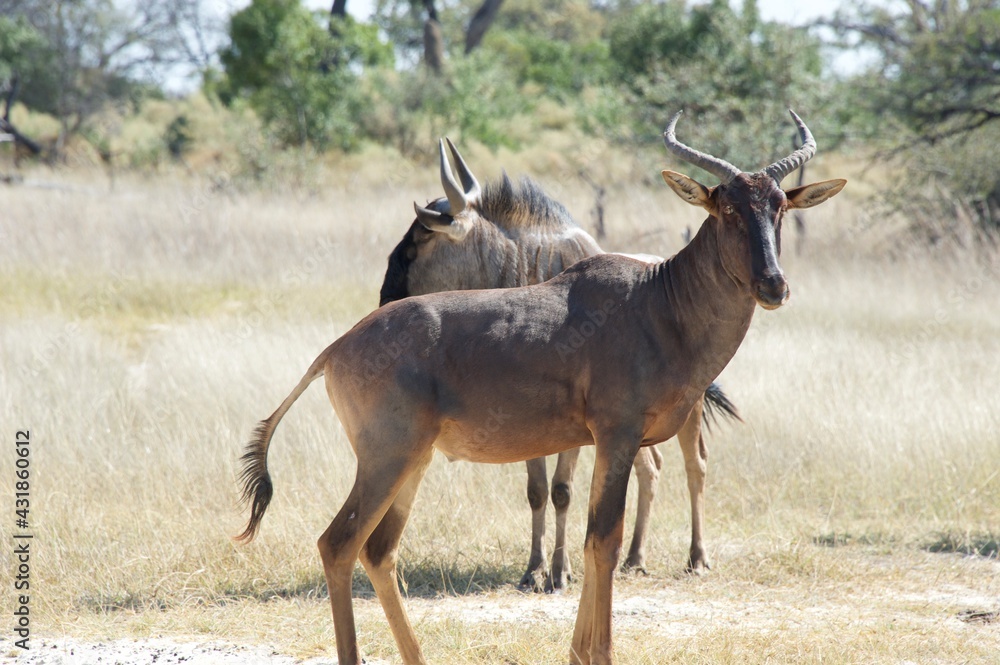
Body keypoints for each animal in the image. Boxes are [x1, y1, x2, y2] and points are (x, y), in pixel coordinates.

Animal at [379, 139, 740, 591]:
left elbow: (563, 489)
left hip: (688, 412)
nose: (385, 298)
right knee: (651, 468)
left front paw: (561, 571)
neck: (533, 270)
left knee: (696, 466)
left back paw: (697, 557)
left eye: (418, 239)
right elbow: (537, 490)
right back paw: (635, 557)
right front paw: (534, 569)